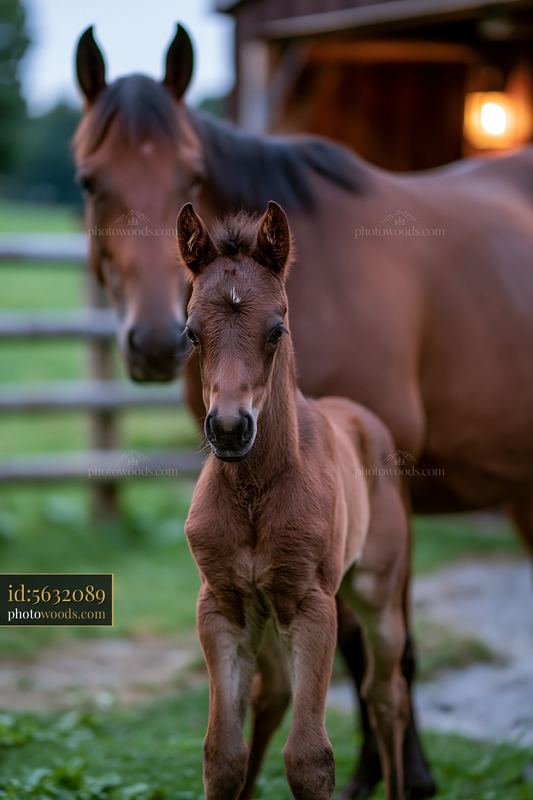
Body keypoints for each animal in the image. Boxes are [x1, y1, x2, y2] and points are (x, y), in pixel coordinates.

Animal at [179, 200, 410, 800]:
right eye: (191, 332)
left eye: (276, 329)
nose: (230, 429)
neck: (254, 496)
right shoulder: (222, 604)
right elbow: (222, 754)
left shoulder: (311, 605)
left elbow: (310, 758)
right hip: (267, 613)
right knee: (275, 692)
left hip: (375, 593)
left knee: (387, 696)